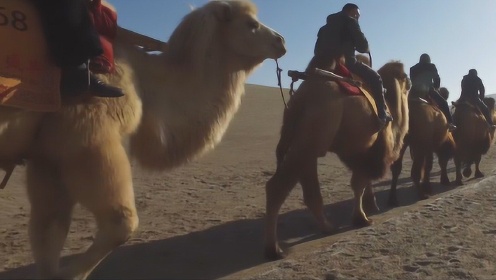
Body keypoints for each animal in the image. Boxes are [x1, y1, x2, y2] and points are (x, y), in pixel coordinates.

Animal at [0, 1, 284, 278]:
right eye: (251, 24)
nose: (281, 41)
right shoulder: (86, 136)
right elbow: (121, 223)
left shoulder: (45, 156)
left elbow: (48, 230)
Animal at [264, 57, 410, 260]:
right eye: (405, 77)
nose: (411, 83)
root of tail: (301, 97)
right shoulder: (370, 152)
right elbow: (359, 184)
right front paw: (362, 218)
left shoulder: (358, 152)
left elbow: (358, 184)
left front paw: (361, 216)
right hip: (313, 136)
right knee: (276, 187)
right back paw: (274, 249)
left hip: (305, 141)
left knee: (310, 191)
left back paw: (328, 227)